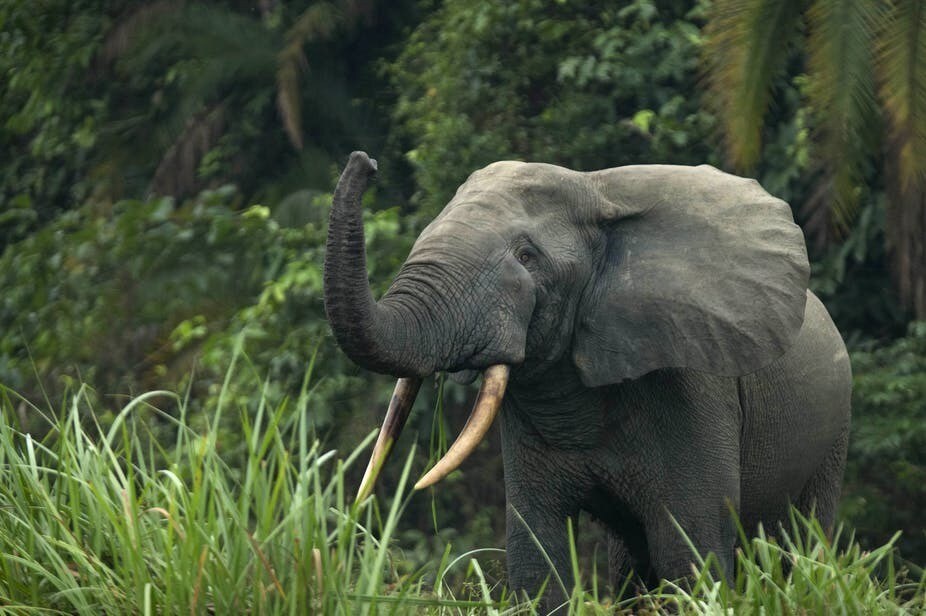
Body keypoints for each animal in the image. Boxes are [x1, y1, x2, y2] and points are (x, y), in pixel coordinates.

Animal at [323, 151, 851, 607]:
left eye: (527, 255)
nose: (365, 162)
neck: (597, 192)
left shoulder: (693, 387)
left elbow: (688, 549)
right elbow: (537, 552)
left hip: (833, 433)